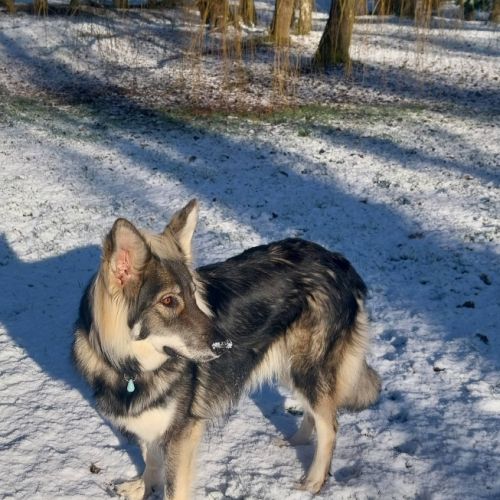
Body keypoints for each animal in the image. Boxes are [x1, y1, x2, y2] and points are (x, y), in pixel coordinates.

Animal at [73, 199, 381, 500]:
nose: (225, 345)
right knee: (314, 413)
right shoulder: (152, 424)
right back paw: (297, 441)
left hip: (308, 367)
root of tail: (337, 260)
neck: (131, 368)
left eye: (193, 295)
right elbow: (151, 460)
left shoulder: (182, 434)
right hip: (290, 364)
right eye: (169, 301)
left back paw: (315, 480)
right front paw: (144, 488)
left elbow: (173, 487)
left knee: (330, 425)